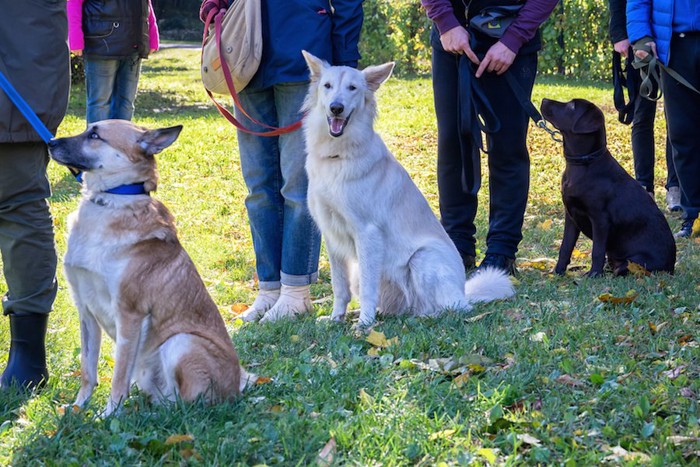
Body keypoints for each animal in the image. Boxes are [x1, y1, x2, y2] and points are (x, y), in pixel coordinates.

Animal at [300, 52, 516, 330]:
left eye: (352, 88)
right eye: (327, 86)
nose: (336, 107)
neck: (337, 156)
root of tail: (463, 291)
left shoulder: (367, 234)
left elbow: (369, 288)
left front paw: (364, 324)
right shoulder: (332, 237)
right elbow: (340, 287)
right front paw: (337, 317)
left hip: (422, 259)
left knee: (452, 308)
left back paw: (423, 317)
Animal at [540, 97, 672, 276]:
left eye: (572, 106)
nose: (544, 100)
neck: (584, 163)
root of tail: (671, 266)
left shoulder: (600, 219)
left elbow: (597, 250)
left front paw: (594, 274)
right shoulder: (571, 215)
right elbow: (565, 246)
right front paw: (558, 271)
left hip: (635, 261)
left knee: (621, 267)